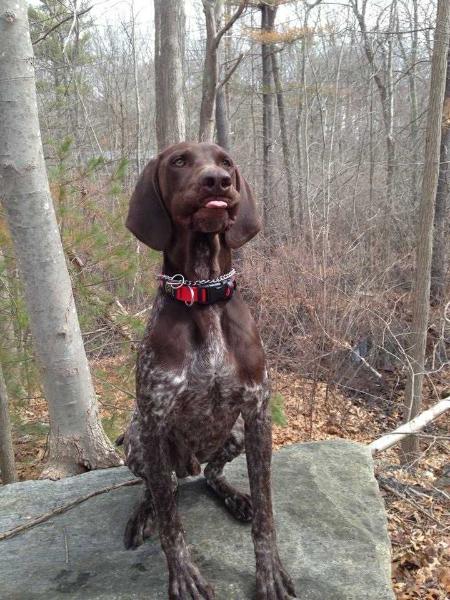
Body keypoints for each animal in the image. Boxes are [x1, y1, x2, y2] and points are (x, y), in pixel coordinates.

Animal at [121, 142, 296, 600]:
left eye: (226, 162)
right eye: (179, 161)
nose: (217, 180)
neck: (203, 294)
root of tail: (190, 466)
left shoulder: (257, 412)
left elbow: (267, 513)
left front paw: (269, 571)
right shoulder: (154, 418)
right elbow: (171, 523)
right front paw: (183, 575)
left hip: (231, 432)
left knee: (212, 473)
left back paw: (234, 496)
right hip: (138, 441)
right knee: (159, 488)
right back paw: (144, 512)